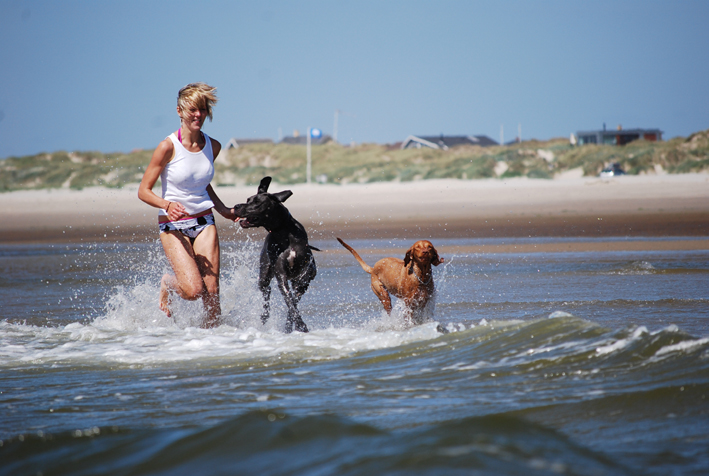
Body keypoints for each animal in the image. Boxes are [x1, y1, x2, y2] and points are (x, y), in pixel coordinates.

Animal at [234, 177, 316, 332]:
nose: (236, 206)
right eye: (247, 199)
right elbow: (290, 302)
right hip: (264, 274)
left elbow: (293, 303)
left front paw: (294, 324)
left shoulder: (303, 278)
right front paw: (301, 325)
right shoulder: (281, 275)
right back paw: (265, 316)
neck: (283, 232)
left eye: (256, 202)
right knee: (267, 293)